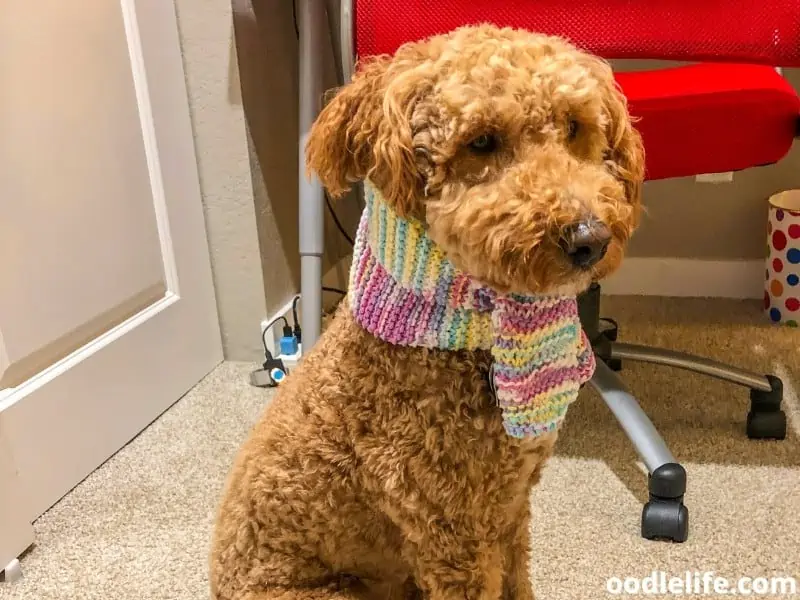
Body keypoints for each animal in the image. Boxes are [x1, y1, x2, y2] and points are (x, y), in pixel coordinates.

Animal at [211, 23, 644, 600]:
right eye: (481, 141)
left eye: (575, 126)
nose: (589, 239)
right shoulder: (453, 531)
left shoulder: (510, 509)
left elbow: (519, 580)